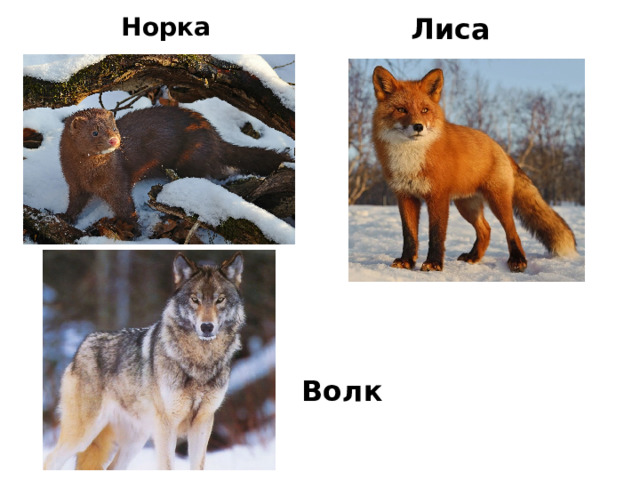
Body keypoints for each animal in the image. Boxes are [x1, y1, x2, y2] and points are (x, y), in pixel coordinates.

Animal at [44, 252, 245, 470]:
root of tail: (82, 346)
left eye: (220, 300)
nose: (207, 327)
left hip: (135, 440)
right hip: (83, 435)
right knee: (49, 461)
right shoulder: (167, 426)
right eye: (195, 300)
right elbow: (167, 467)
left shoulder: (203, 422)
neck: (200, 361)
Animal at [371, 66, 578, 272]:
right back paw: (473, 257)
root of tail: (499, 147)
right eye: (401, 109)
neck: (409, 159)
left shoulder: (438, 196)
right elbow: (409, 235)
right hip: (467, 206)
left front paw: (434, 263)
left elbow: (436, 234)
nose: (418, 126)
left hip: (497, 201)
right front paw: (406, 261)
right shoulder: (405, 196)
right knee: (486, 230)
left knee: (512, 230)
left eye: (424, 110)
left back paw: (517, 260)